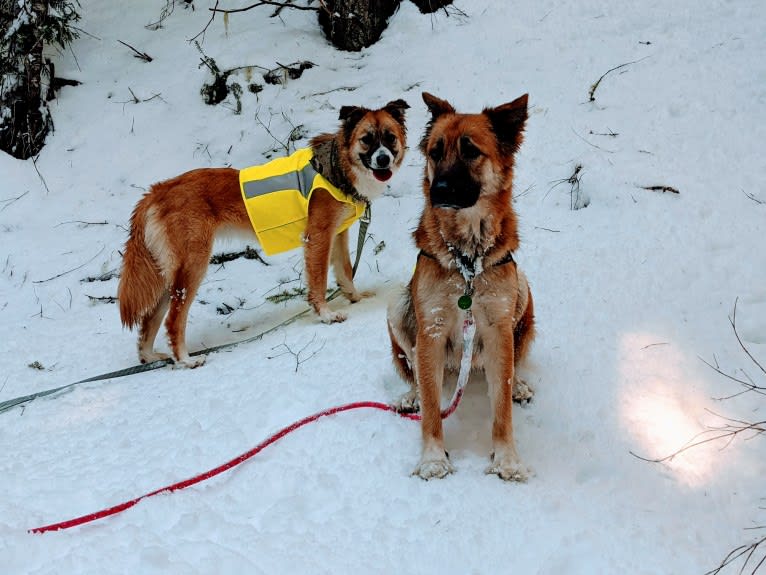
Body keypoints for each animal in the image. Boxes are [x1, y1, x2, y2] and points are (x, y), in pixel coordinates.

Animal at [118, 99, 412, 368]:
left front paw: (354, 298)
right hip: (192, 266)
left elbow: (346, 271)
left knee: (150, 319)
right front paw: (326, 315)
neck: (336, 167)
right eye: (366, 139)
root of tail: (158, 191)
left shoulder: (339, 235)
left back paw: (148, 357)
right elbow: (318, 280)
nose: (383, 158)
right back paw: (185, 360)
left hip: (170, 275)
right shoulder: (318, 237)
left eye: (389, 137)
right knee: (173, 320)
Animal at [388, 93, 536, 482]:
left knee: (514, 364)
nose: (438, 190)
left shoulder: (498, 327)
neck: (468, 261)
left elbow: (501, 408)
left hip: (523, 293)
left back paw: (518, 384)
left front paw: (507, 459)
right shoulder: (432, 329)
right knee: (416, 373)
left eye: (470, 151)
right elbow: (430, 411)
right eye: (435, 152)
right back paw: (411, 394)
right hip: (398, 305)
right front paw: (433, 458)